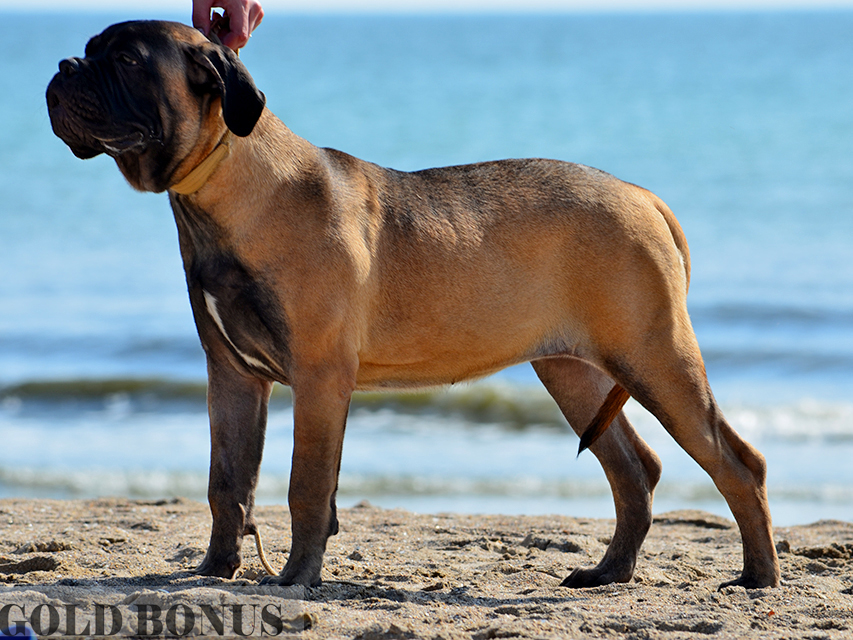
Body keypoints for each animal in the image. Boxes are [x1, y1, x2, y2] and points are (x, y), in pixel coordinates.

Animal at [46, 20, 780, 592]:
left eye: (126, 61)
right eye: (88, 49)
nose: (62, 66)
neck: (222, 188)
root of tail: (639, 194)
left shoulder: (318, 377)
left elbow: (306, 485)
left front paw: (296, 579)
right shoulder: (231, 376)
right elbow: (228, 482)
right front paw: (214, 572)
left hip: (655, 357)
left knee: (736, 462)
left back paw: (757, 578)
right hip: (576, 372)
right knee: (635, 469)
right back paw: (609, 573)